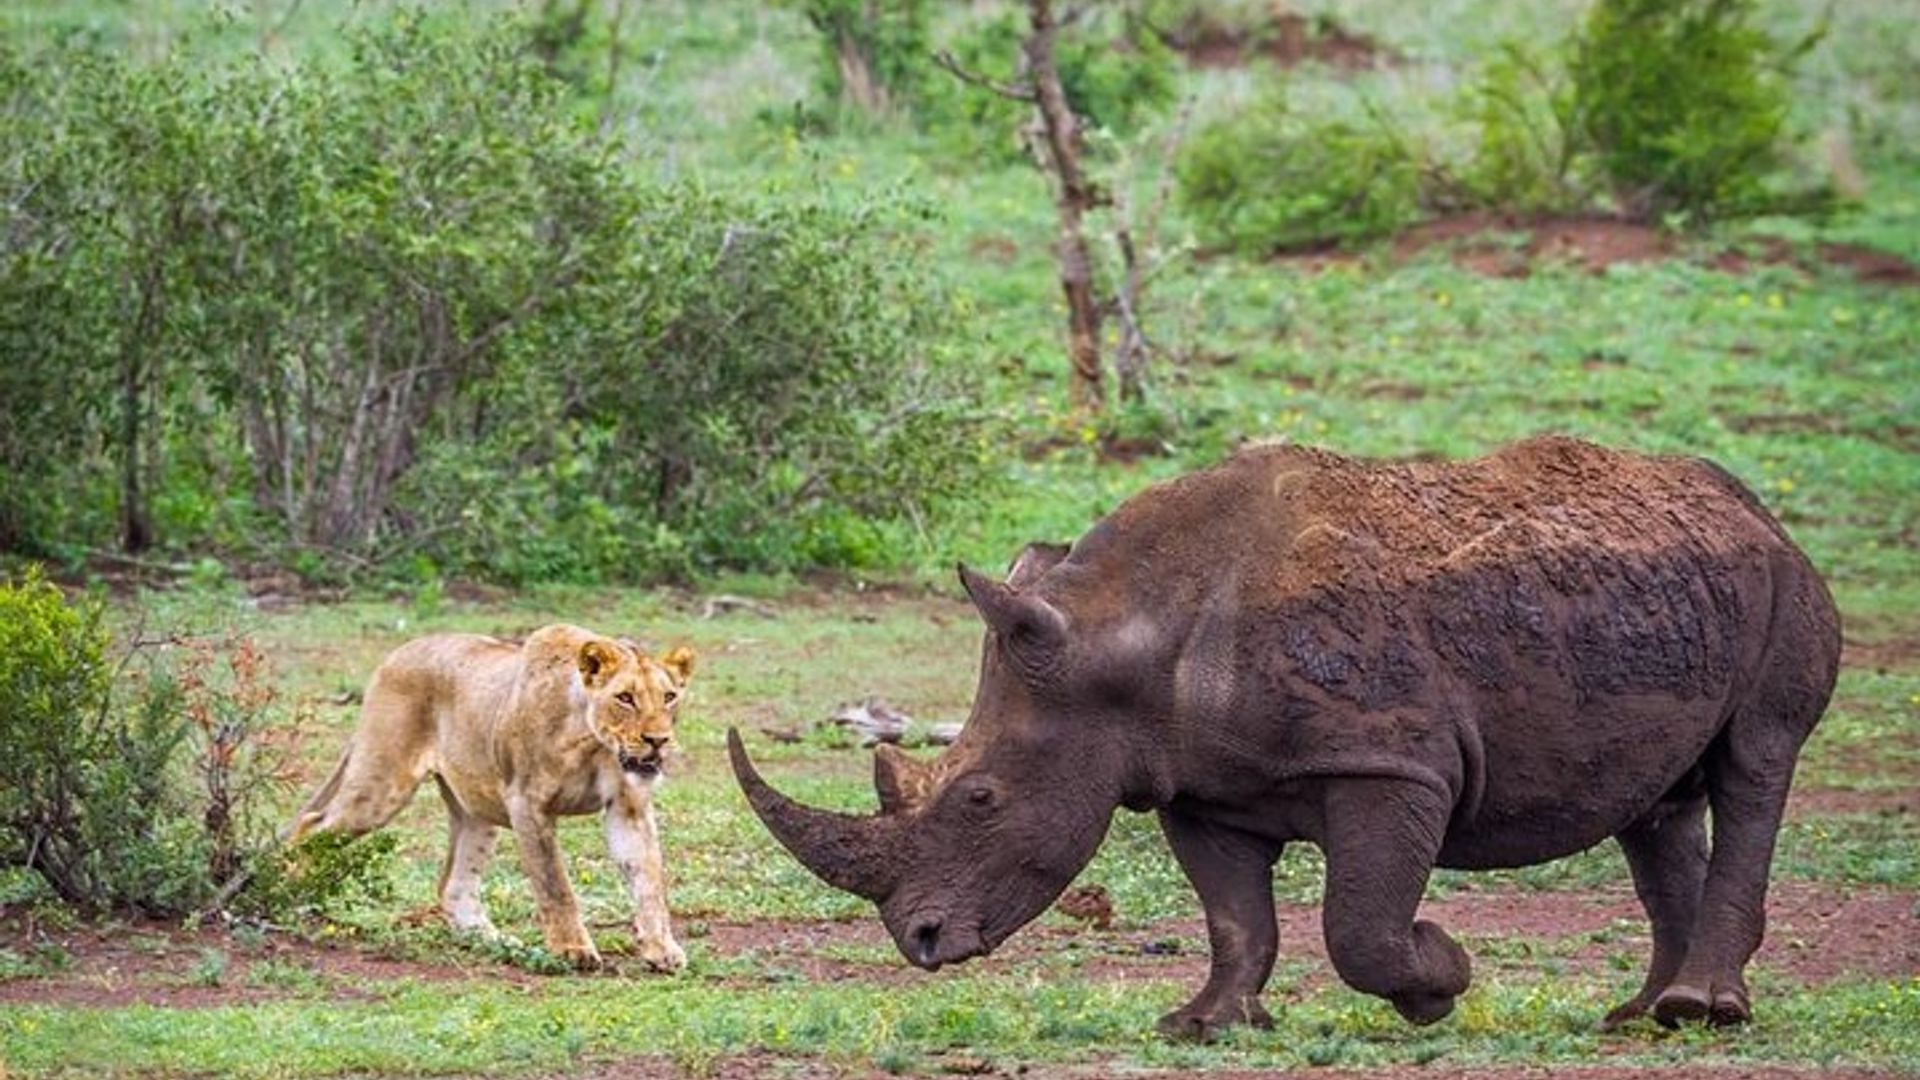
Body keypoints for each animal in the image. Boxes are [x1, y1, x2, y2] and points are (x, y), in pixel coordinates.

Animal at [290, 624, 696, 971]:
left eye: (669, 697)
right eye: (625, 698)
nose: (658, 740)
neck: (594, 744)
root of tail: (398, 653)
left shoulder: (628, 807)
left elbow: (648, 881)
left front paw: (662, 949)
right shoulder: (527, 803)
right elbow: (555, 884)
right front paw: (573, 950)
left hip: (476, 808)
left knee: (454, 888)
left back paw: (503, 944)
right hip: (382, 785)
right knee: (310, 825)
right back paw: (293, 895)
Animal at [728, 436, 1840, 1037]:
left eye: (979, 798)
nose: (917, 943)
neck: (1124, 628)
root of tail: (1757, 509)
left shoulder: (1392, 762)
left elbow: (1359, 922)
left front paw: (1440, 978)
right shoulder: (1197, 783)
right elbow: (1234, 917)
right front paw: (1205, 1025)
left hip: (1784, 587)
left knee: (1755, 762)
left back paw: (1700, 1009)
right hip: (1674, 594)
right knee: (1656, 803)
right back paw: (1639, 1015)